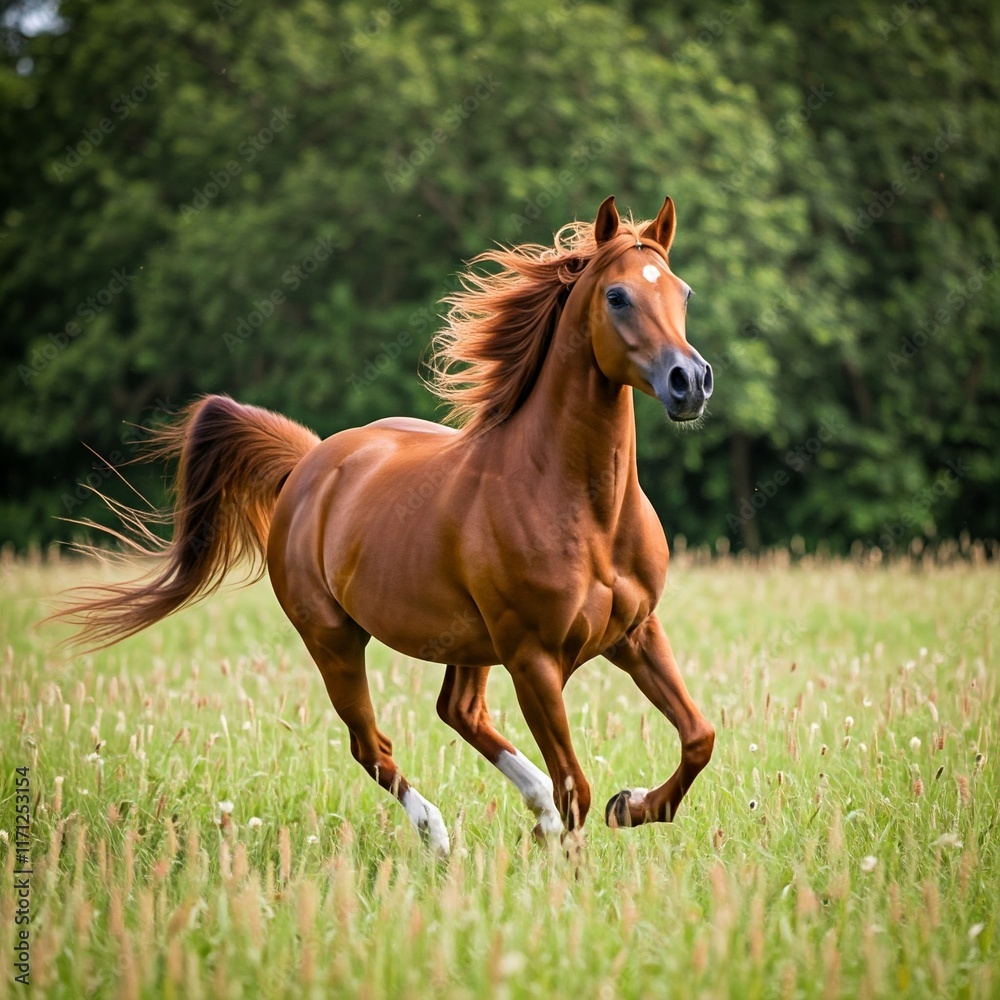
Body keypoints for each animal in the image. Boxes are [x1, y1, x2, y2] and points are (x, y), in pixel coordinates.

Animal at [54, 196, 716, 857]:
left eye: (682, 292)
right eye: (617, 296)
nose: (690, 381)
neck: (584, 508)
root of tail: (310, 462)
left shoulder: (636, 632)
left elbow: (698, 737)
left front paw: (631, 805)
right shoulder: (534, 659)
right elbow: (577, 782)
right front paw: (575, 857)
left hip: (466, 641)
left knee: (459, 712)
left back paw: (535, 815)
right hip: (334, 639)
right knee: (372, 744)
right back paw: (440, 836)